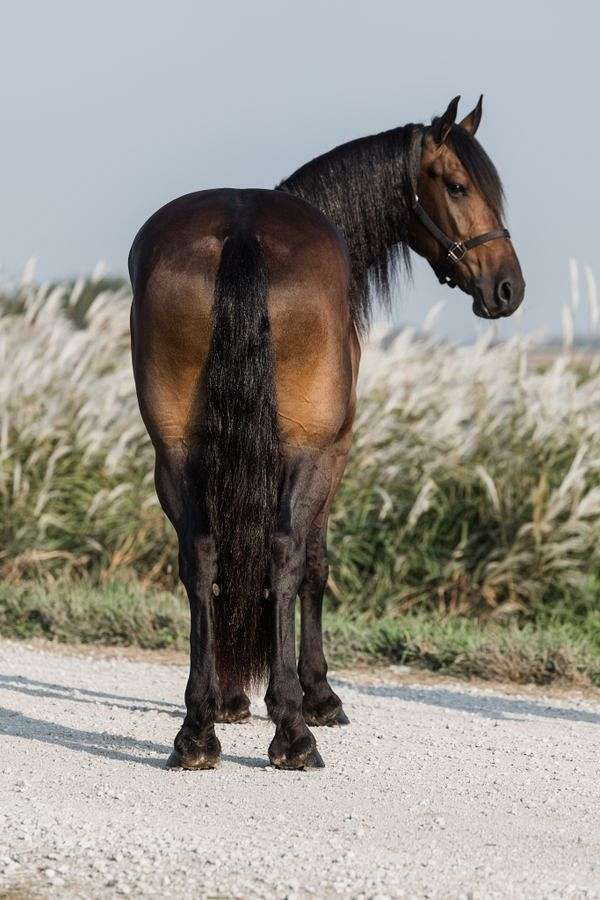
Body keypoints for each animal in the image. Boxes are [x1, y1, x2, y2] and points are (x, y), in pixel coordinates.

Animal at [129, 95, 524, 771]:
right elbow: (312, 565)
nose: (508, 288)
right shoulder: (333, 451)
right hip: (309, 454)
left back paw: (197, 730)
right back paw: (293, 733)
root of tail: (241, 233)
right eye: (457, 185)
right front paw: (316, 696)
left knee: (202, 553)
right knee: (286, 554)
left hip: (174, 453)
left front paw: (231, 698)